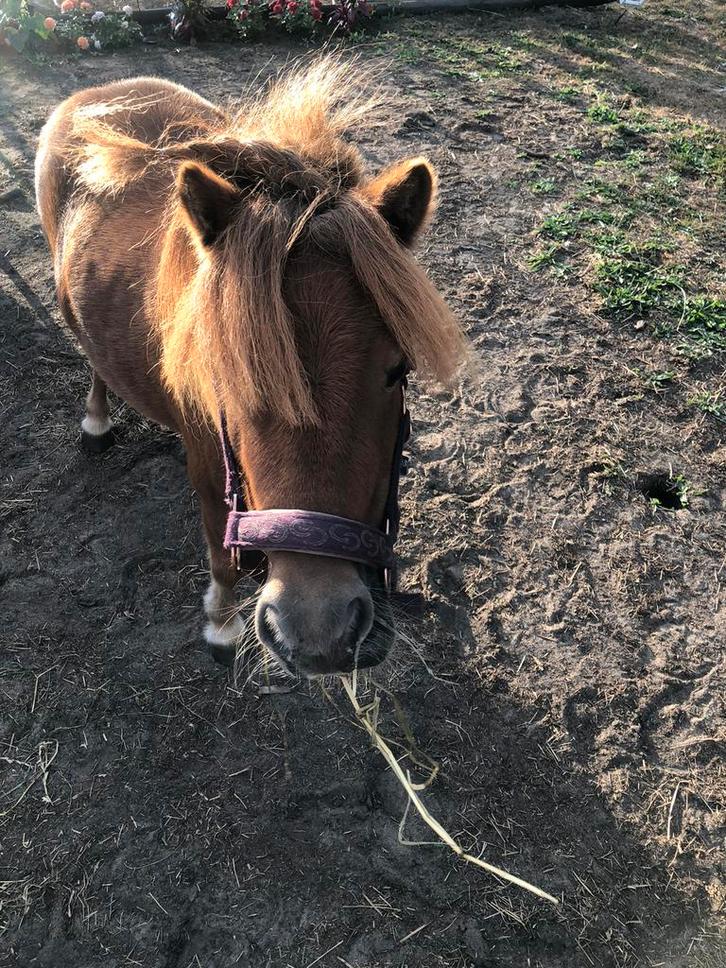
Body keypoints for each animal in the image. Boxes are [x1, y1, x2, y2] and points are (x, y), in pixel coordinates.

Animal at [35, 57, 466, 677]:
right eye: (229, 374)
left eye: (396, 371)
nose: (318, 629)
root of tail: (97, 93)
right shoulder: (208, 463)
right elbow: (221, 542)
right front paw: (222, 621)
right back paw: (97, 423)